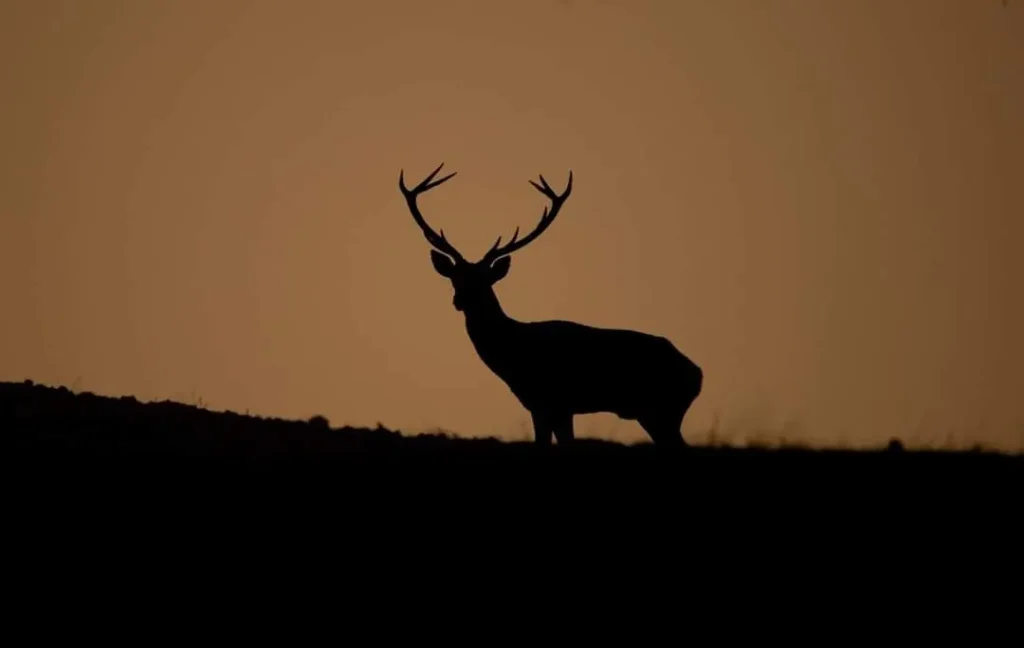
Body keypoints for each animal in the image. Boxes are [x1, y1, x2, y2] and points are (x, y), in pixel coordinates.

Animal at [399, 162, 703, 447]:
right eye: (455, 278)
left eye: (485, 280)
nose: (460, 300)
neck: (514, 353)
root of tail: (697, 373)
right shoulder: (541, 404)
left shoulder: (554, 399)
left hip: (661, 409)